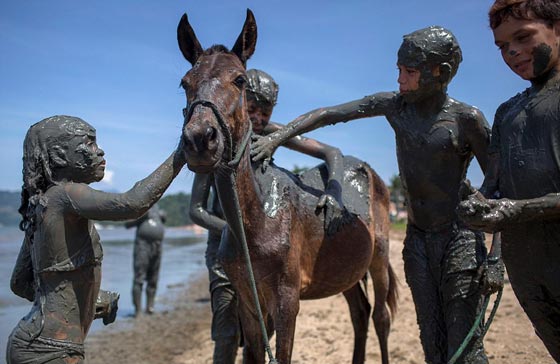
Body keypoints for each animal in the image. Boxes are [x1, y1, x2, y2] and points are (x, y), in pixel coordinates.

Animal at [179, 9, 398, 362]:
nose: (199, 139)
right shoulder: (249, 302)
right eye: (185, 83)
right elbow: (254, 353)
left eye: (239, 80)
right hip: (345, 271)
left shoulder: (287, 302)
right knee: (360, 313)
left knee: (381, 317)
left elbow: (282, 355)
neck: (257, 219)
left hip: (379, 254)